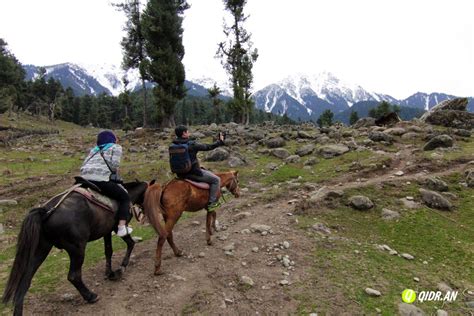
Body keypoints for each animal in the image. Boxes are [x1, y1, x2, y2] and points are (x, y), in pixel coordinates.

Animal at [1, 181, 150, 314]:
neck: (128, 194)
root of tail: (45, 211)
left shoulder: (106, 231)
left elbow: (108, 251)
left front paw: (110, 273)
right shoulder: (115, 228)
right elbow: (130, 243)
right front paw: (121, 268)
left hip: (41, 250)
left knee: (25, 282)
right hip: (77, 249)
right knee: (73, 276)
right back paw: (91, 296)